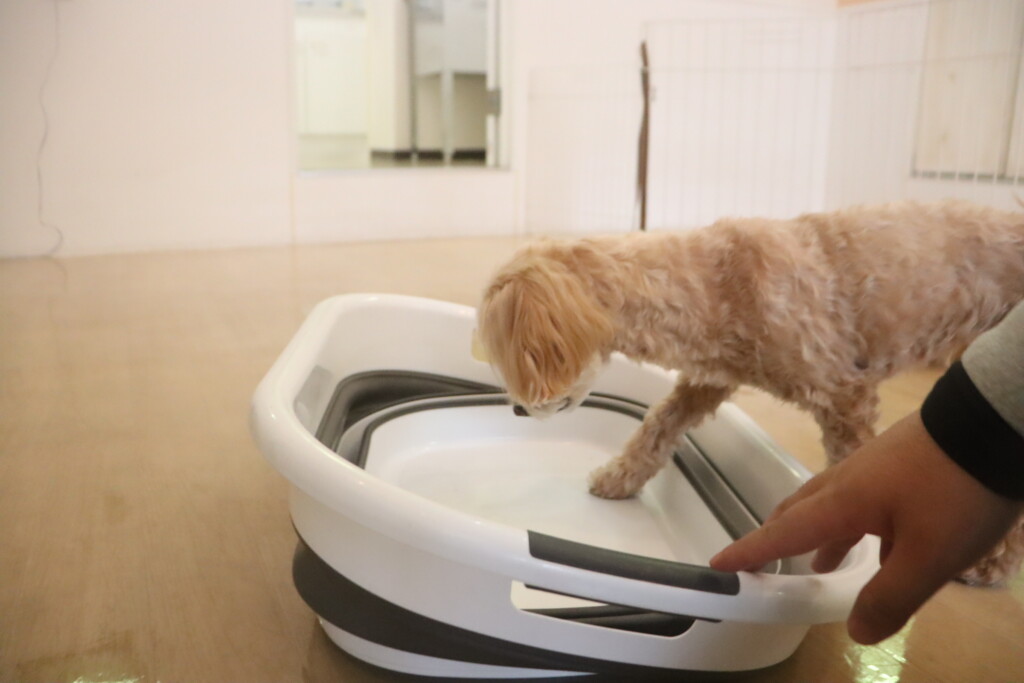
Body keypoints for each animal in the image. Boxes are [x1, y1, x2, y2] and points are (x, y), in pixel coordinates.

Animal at [477, 200, 1024, 585]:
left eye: (516, 358)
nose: (518, 409)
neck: (717, 283)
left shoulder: (845, 392)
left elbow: (852, 471)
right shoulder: (708, 379)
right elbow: (658, 427)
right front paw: (619, 478)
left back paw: (994, 564)